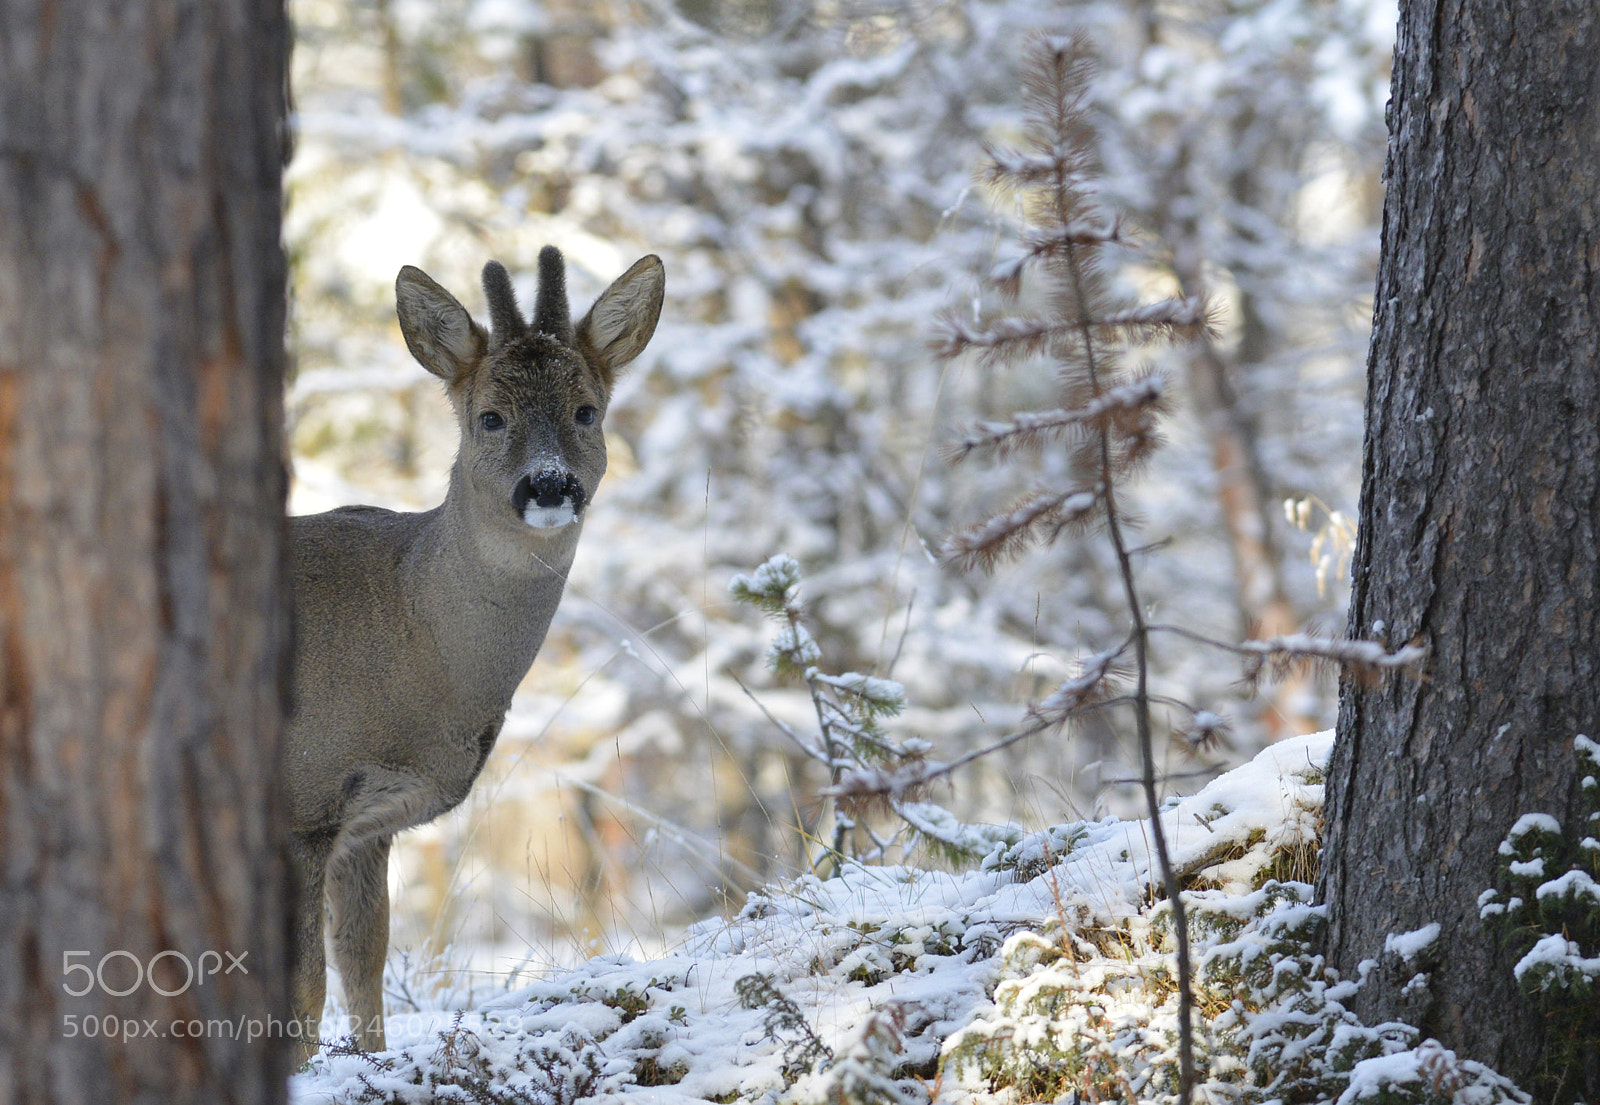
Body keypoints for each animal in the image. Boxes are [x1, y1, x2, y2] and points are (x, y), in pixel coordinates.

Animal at [283, 246, 664, 1055]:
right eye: (490, 416)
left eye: (586, 411)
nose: (549, 483)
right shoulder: (303, 797)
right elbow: (304, 996)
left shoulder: (368, 824)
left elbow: (364, 972)